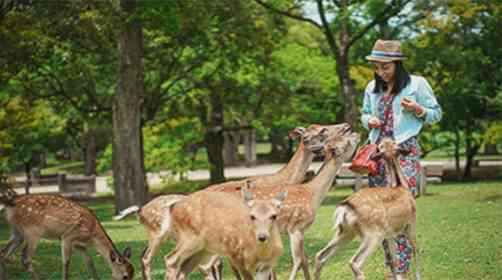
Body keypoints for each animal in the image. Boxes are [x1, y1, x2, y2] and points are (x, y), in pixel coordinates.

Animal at [0, 184, 134, 280]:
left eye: (132, 274)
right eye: (125, 277)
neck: (91, 236)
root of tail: (9, 203)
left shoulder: (79, 245)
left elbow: (89, 262)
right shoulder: (67, 237)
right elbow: (66, 262)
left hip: (17, 231)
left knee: (4, 253)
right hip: (32, 231)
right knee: (26, 258)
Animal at [113, 123, 350, 280]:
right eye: (322, 130)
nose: (346, 126)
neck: (280, 179)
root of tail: (140, 210)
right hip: (162, 234)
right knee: (154, 258)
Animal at [316, 138, 422, 280]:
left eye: (386, 144)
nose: (381, 140)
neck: (401, 186)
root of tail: (344, 208)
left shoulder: (389, 233)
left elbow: (393, 259)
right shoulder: (410, 222)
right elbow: (416, 249)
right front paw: (418, 276)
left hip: (346, 231)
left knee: (320, 255)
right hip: (373, 234)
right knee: (354, 262)